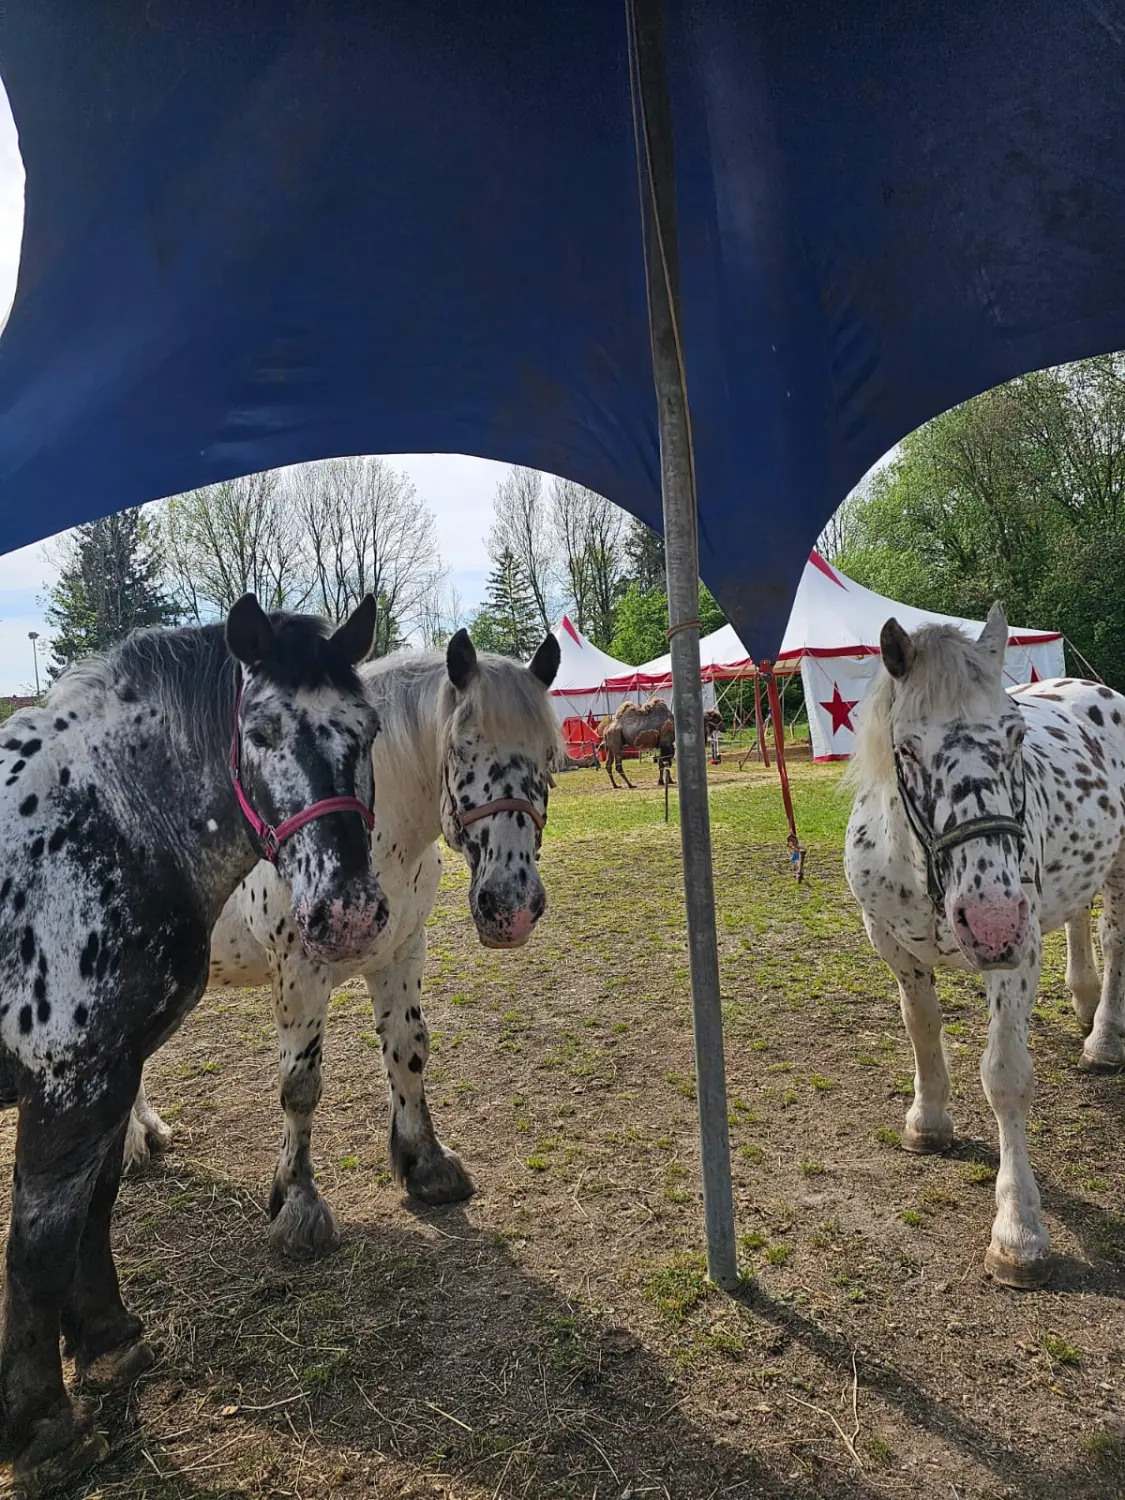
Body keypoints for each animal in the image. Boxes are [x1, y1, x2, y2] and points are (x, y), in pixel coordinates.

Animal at [0, 597, 387, 1500]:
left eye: (369, 729)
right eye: (264, 731)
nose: (348, 911)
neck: (98, 830)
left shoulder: (114, 1073)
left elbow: (97, 1206)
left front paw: (108, 1340)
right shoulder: (66, 1083)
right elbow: (36, 1248)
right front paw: (42, 1428)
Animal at [129, 627, 564, 1260]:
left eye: (549, 760)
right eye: (462, 748)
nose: (512, 907)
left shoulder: (403, 954)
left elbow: (408, 1051)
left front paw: (426, 1164)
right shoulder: (300, 974)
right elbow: (300, 1085)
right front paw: (298, 1204)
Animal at [846, 606, 1125, 1290]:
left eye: (1017, 735)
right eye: (906, 747)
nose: (992, 920)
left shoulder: (1015, 959)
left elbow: (1006, 1076)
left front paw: (1019, 1230)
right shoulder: (893, 946)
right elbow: (921, 1030)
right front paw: (928, 1122)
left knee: (1114, 940)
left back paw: (1103, 1038)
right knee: (1078, 923)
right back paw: (1083, 1004)